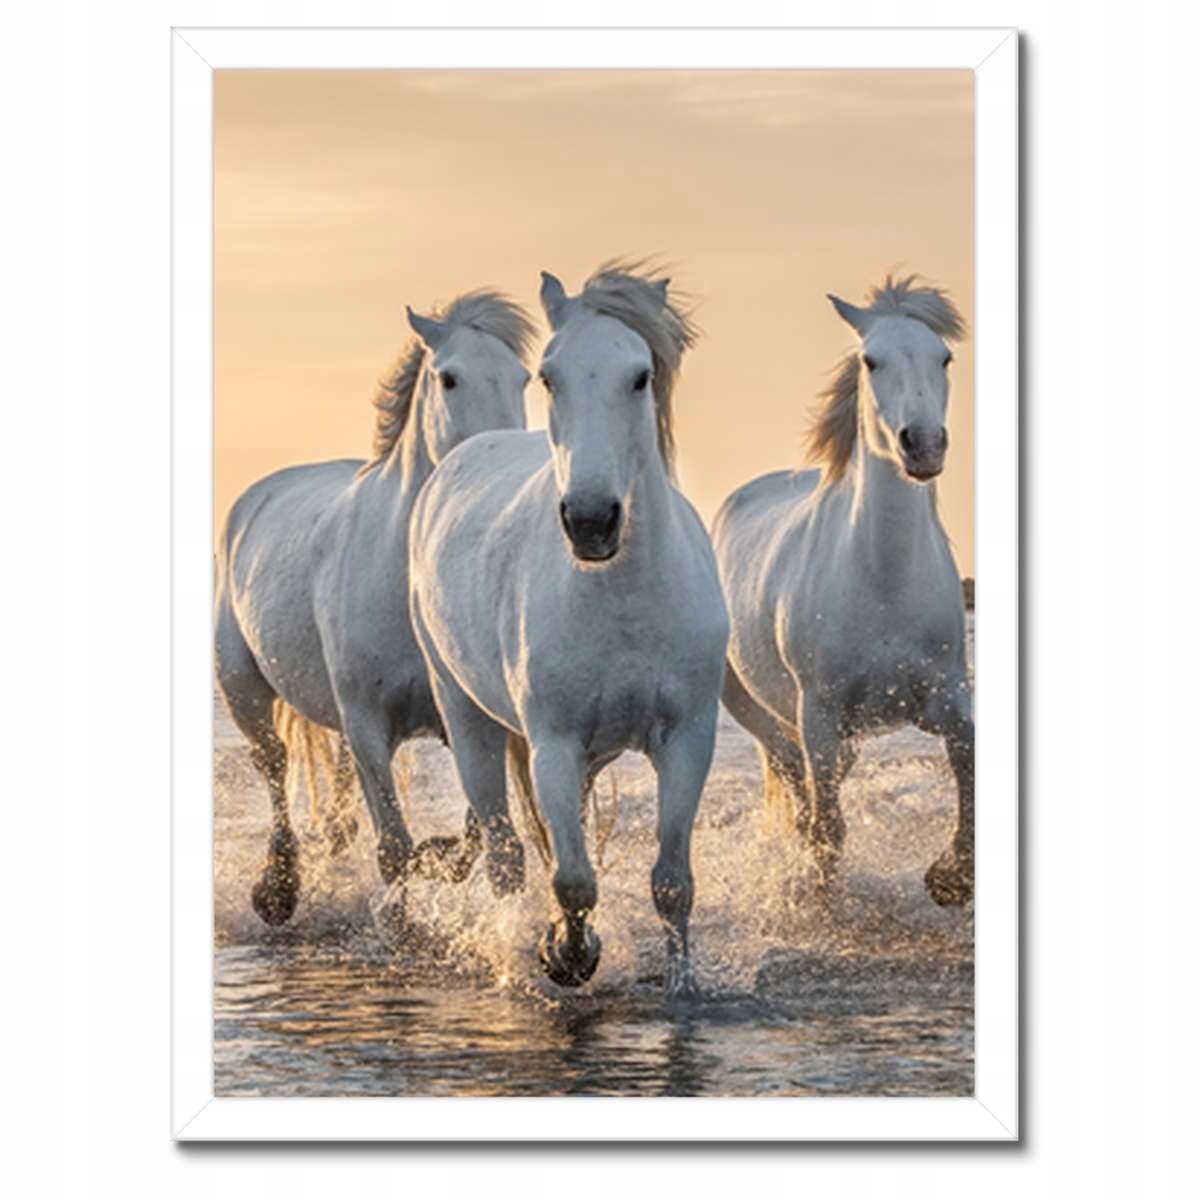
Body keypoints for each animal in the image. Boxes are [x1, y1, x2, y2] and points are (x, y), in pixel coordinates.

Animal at [214, 290, 536, 925]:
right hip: (243, 690)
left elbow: (471, 833)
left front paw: (437, 858)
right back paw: (277, 891)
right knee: (274, 765)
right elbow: (392, 845)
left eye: (522, 378)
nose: (499, 461)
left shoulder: (462, 717)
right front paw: (402, 922)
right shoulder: (368, 725)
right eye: (449, 378)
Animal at [409, 262, 729, 994]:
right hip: (466, 717)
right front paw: (567, 954)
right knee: (504, 852)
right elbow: (573, 878)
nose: (590, 521)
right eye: (549, 377)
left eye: (640, 376)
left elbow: (672, 883)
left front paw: (682, 985)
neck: (623, 600)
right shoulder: (552, 744)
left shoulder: (687, 739)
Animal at [712, 275, 973, 907]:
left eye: (944, 357)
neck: (884, 581)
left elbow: (970, 761)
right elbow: (828, 825)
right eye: (871, 360)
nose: (922, 446)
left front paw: (951, 878)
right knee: (792, 777)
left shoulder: (948, 696)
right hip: (756, 706)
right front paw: (820, 898)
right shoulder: (821, 715)